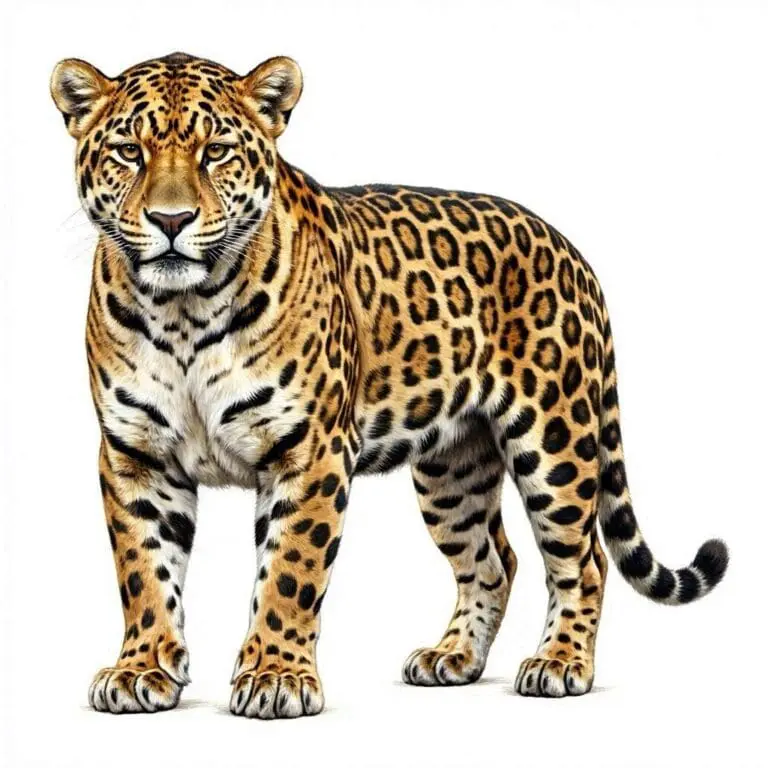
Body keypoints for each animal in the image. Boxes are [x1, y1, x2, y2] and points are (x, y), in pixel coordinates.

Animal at [51, 51, 728, 718]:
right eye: (128, 151)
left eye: (215, 151)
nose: (171, 219)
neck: (182, 311)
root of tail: (571, 251)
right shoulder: (135, 454)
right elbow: (143, 569)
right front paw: (142, 668)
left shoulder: (311, 450)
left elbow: (290, 571)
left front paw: (276, 676)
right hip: (452, 469)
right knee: (493, 560)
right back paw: (453, 657)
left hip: (556, 441)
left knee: (583, 561)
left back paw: (560, 663)